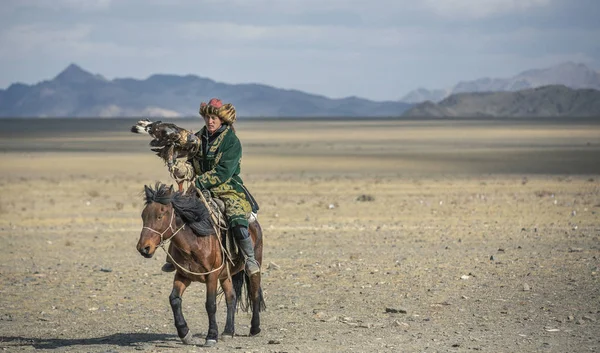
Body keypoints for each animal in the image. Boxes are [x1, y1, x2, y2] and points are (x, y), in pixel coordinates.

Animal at [139, 183, 266, 346]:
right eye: (143, 216)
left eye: (160, 216)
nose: (143, 248)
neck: (195, 241)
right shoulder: (183, 275)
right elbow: (174, 299)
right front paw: (185, 333)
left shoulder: (211, 275)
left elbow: (210, 304)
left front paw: (211, 336)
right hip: (225, 275)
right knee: (231, 297)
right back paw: (228, 331)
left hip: (255, 264)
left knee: (254, 293)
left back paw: (255, 328)